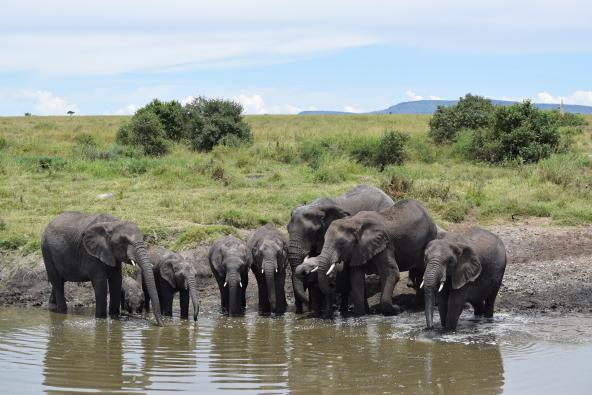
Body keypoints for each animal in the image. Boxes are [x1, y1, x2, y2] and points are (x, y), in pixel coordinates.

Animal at [306, 200, 440, 318]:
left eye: (342, 244)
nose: (332, 284)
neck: (353, 222)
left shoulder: (385, 245)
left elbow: (391, 273)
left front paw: (396, 310)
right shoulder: (358, 249)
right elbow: (356, 279)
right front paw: (361, 314)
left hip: (430, 236)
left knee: (422, 269)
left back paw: (422, 303)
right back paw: (416, 302)